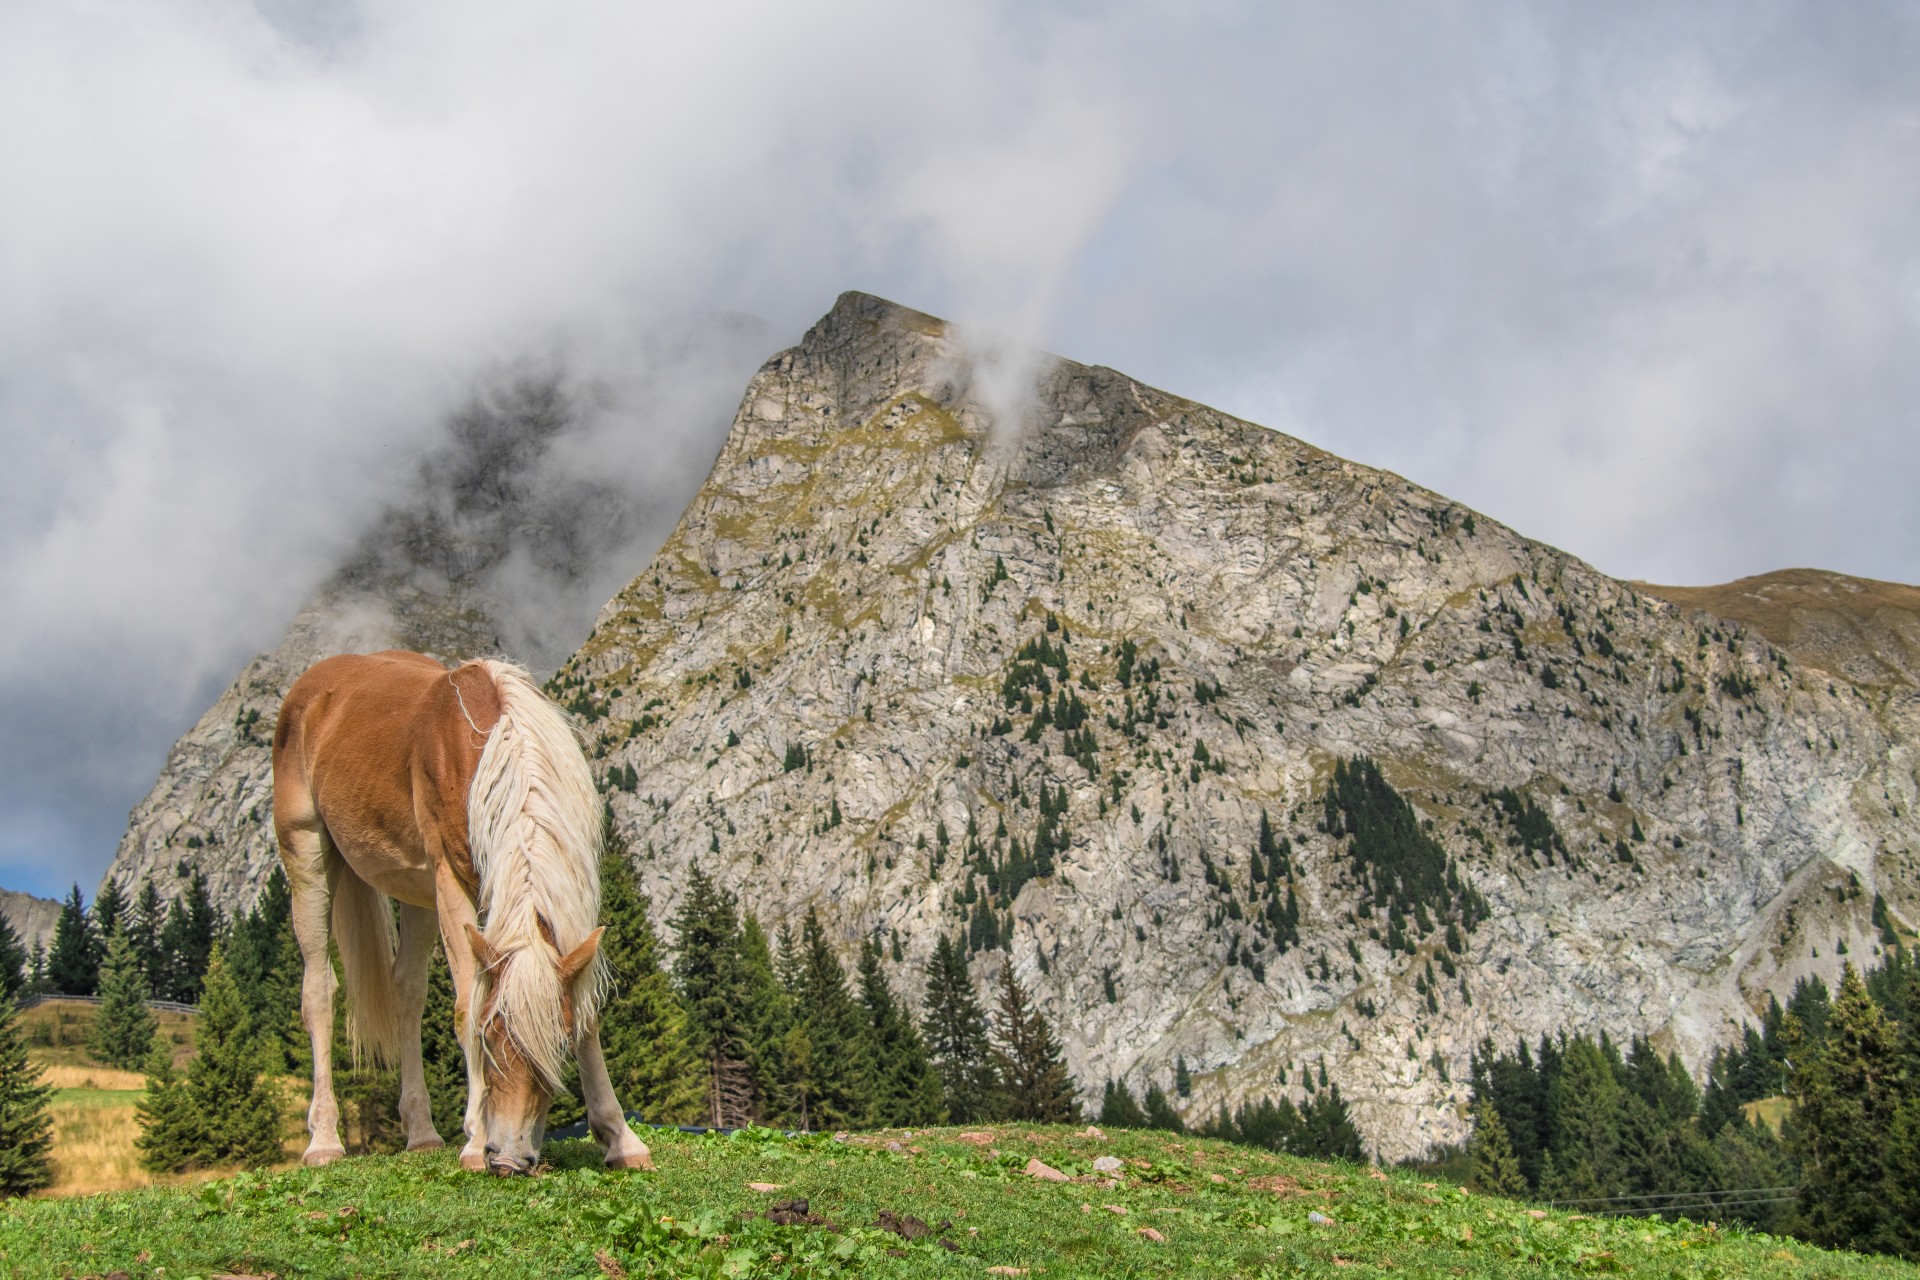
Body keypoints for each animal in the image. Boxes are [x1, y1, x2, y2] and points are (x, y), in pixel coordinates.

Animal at [271, 649, 653, 1175]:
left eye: (558, 1044)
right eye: (489, 1037)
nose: (507, 1157)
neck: (497, 748)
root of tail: (315, 684)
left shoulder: (571, 888)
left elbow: (586, 1010)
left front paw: (621, 1138)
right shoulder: (451, 882)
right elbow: (465, 1004)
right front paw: (474, 1139)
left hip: (417, 894)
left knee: (406, 991)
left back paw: (422, 1134)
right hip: (307, 857)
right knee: (318, 992)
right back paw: (324, 1140)